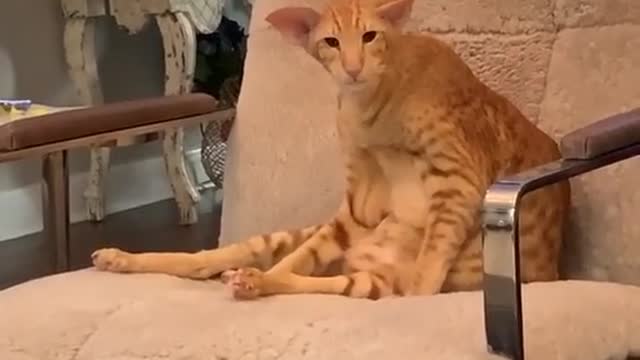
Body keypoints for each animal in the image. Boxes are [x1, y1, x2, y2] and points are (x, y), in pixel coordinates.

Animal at [90, 0, 568, 300]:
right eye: (331, 43)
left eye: (371, 36)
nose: (354, 69)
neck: (372, 111)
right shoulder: (356, 206)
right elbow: (297, 259)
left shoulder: (459, 182)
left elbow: (428, 267)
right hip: (299, 239)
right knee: (211, 260)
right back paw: (125, 258)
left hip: (370, 280)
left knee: (320, 281)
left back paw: (252, 281)